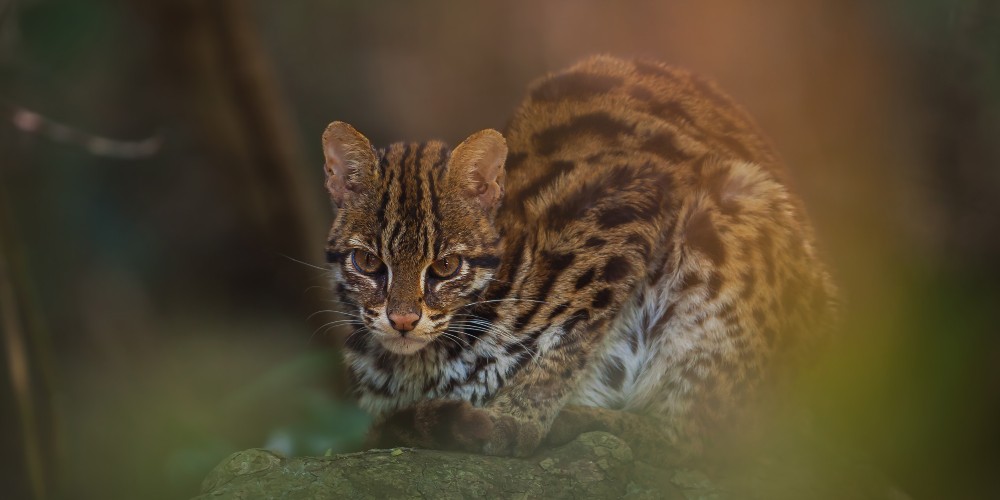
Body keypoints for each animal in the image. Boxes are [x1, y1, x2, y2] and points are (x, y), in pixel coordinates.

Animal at [320, 53, 836, 460]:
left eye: (445, 266)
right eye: (369, 263)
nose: (403, 320)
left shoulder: (634, 198)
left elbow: (569, 343)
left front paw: (514, 421)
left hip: (737, 206)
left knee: (704, 440)